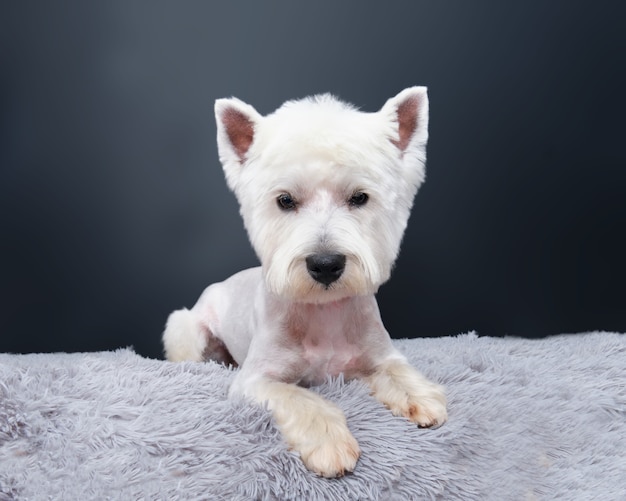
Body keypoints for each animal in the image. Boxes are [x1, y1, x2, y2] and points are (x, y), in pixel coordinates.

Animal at [161, 86, 444, 476]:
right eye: (285, 200)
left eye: (360, 197)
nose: (326, 264)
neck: (323, 311)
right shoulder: (256, 379)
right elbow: (299, 396)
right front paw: (329, 442)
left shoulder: (379, 354)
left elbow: (398, 370)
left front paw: (422, 397)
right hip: (187, 329)